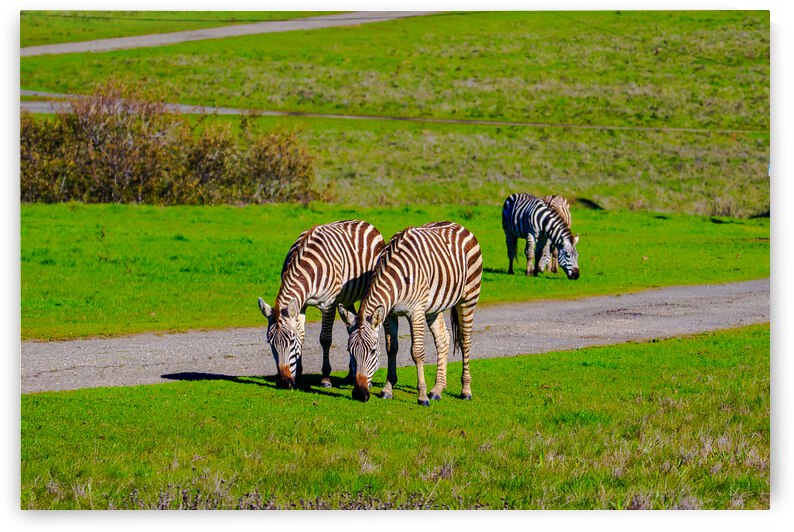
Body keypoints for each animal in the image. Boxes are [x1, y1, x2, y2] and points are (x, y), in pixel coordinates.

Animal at [257, 220, 384, 390]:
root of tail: (363, 222)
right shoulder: (301, 304)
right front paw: (298, 374)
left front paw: (325, 378)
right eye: (270, 343)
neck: (306, 270)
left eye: (290, 341)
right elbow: (302, 336)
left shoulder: (328, 304)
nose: (283, 383)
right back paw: (350, 376)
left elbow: (325, 339)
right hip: (347, 299)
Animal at [337, 221, 482, 405]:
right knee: (443, 339)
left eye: (372, 351)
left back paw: (465, 390)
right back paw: (437, 389)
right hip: (434, 307)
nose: (359, 394)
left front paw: (422, 396)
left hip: (468, 298)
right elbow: (392, 348)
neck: (396, 280)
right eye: (350, 351)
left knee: (465, 341)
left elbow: (417, 352)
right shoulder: (389, 315)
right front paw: (387, 389)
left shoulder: (416, 312)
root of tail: (458, 225)